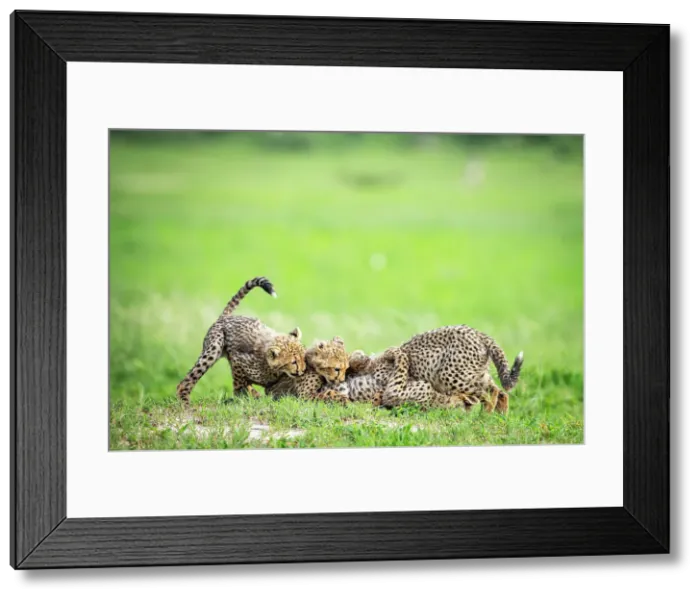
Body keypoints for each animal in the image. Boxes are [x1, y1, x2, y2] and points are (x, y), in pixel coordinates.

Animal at [176, 276, 306, 404]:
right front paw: (244, 397)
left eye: (303, 358)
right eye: (293, 362)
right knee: (185, 382)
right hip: (213, 348)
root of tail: (225, 317)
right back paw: (185, 403)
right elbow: (240, 384)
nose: (303, 370)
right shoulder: (237, 360)